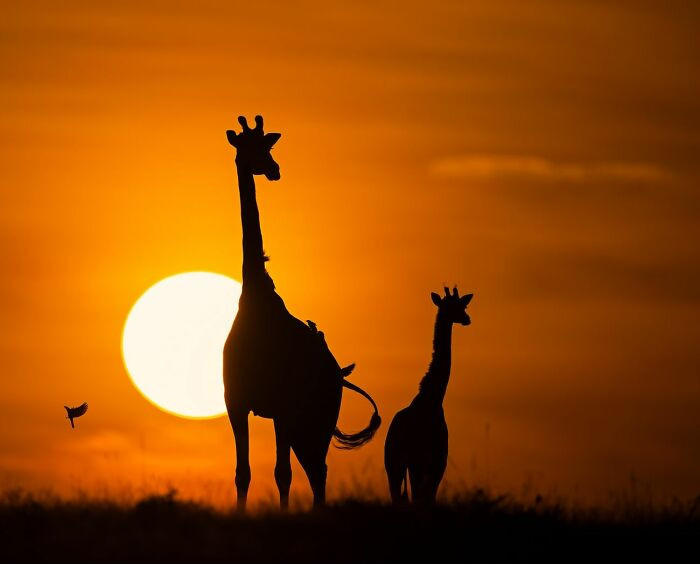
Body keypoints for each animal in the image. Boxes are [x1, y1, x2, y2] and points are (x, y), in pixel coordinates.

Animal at [223, 115, 381, 511]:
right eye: (249, 147)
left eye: (268, 145)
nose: (274, 170)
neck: (256, 300)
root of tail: (339, 373)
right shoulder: (236, 402)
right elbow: (243, 472)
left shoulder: (280, 405)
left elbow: (282, 473)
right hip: (304, 422)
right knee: (314, 469)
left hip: (316, 418)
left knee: (317, 469)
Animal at [384, 287, 473, 504]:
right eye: (450, 306)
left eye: (463, 305)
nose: (467, 319)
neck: (431, 401)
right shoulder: (426, 460)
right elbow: (423, 497)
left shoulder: (434, 461)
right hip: (398, 463)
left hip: (401, 464)